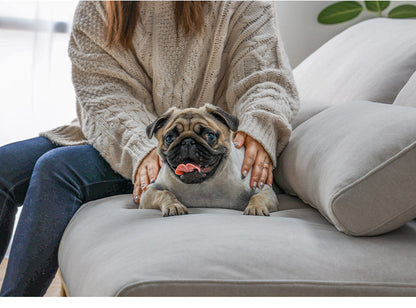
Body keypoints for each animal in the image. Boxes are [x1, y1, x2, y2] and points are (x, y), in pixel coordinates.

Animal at [138, 104, 278, 218]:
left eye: (210, 136)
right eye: (169, 138)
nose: (187, 141)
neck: (203, 185)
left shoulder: (264, 189)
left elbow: (257, 196)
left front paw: (256, 208)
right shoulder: (149, 192)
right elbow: (165, 193)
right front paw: (174, 206)